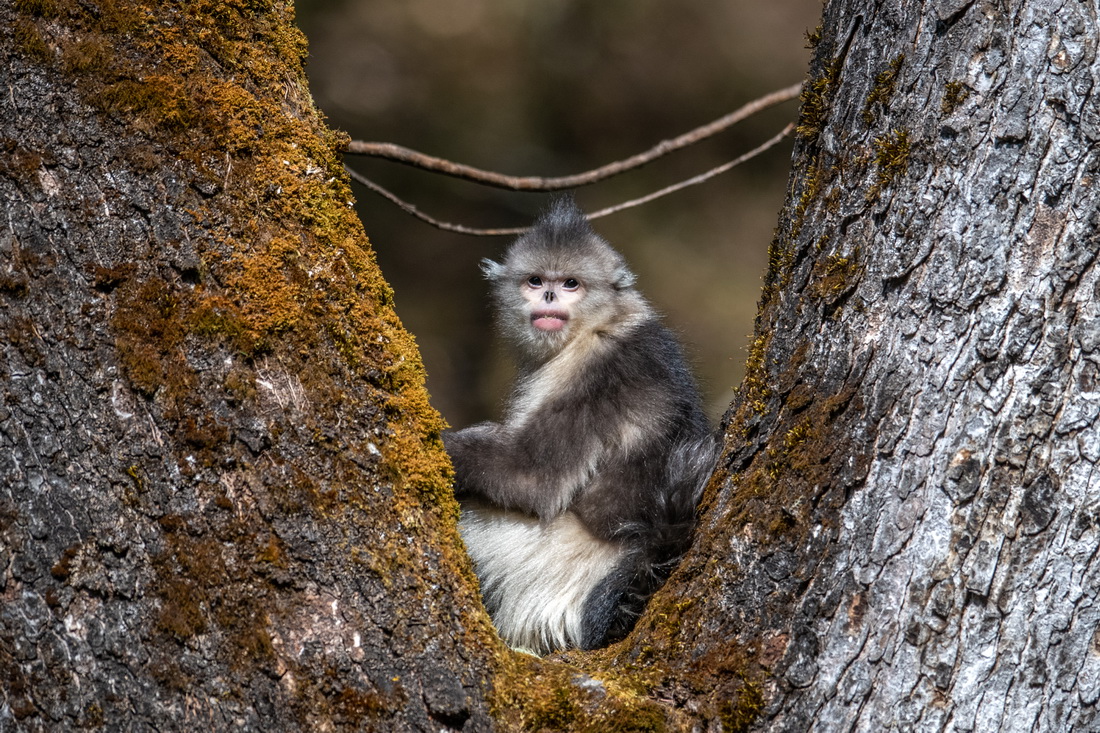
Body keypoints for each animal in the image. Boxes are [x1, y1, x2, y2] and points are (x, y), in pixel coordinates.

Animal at [442, 193, 717, 651]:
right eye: (535, 280)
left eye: (571, 283)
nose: (550, 295)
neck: (598, 324)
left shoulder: (595, 375)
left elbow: (534, 480)